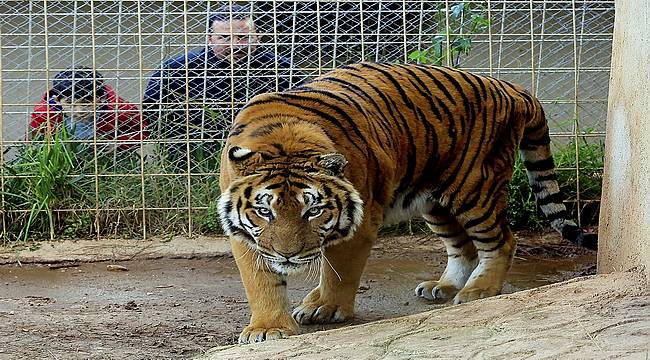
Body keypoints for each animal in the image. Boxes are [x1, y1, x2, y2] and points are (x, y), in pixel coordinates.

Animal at [216, 62, 592, 344]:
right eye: (264, 211)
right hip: (435, 203)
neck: (282, 140)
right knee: (463, 248)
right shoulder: (245, 235)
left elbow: (339, 271)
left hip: (475, 189)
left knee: (503, 242)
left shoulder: (362, 222)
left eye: (314, 211)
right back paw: (444, 286)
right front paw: (268, 328)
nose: (287, 256)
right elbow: (260, 281)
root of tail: (512, 89)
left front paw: (327, 308)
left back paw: (479, 291)